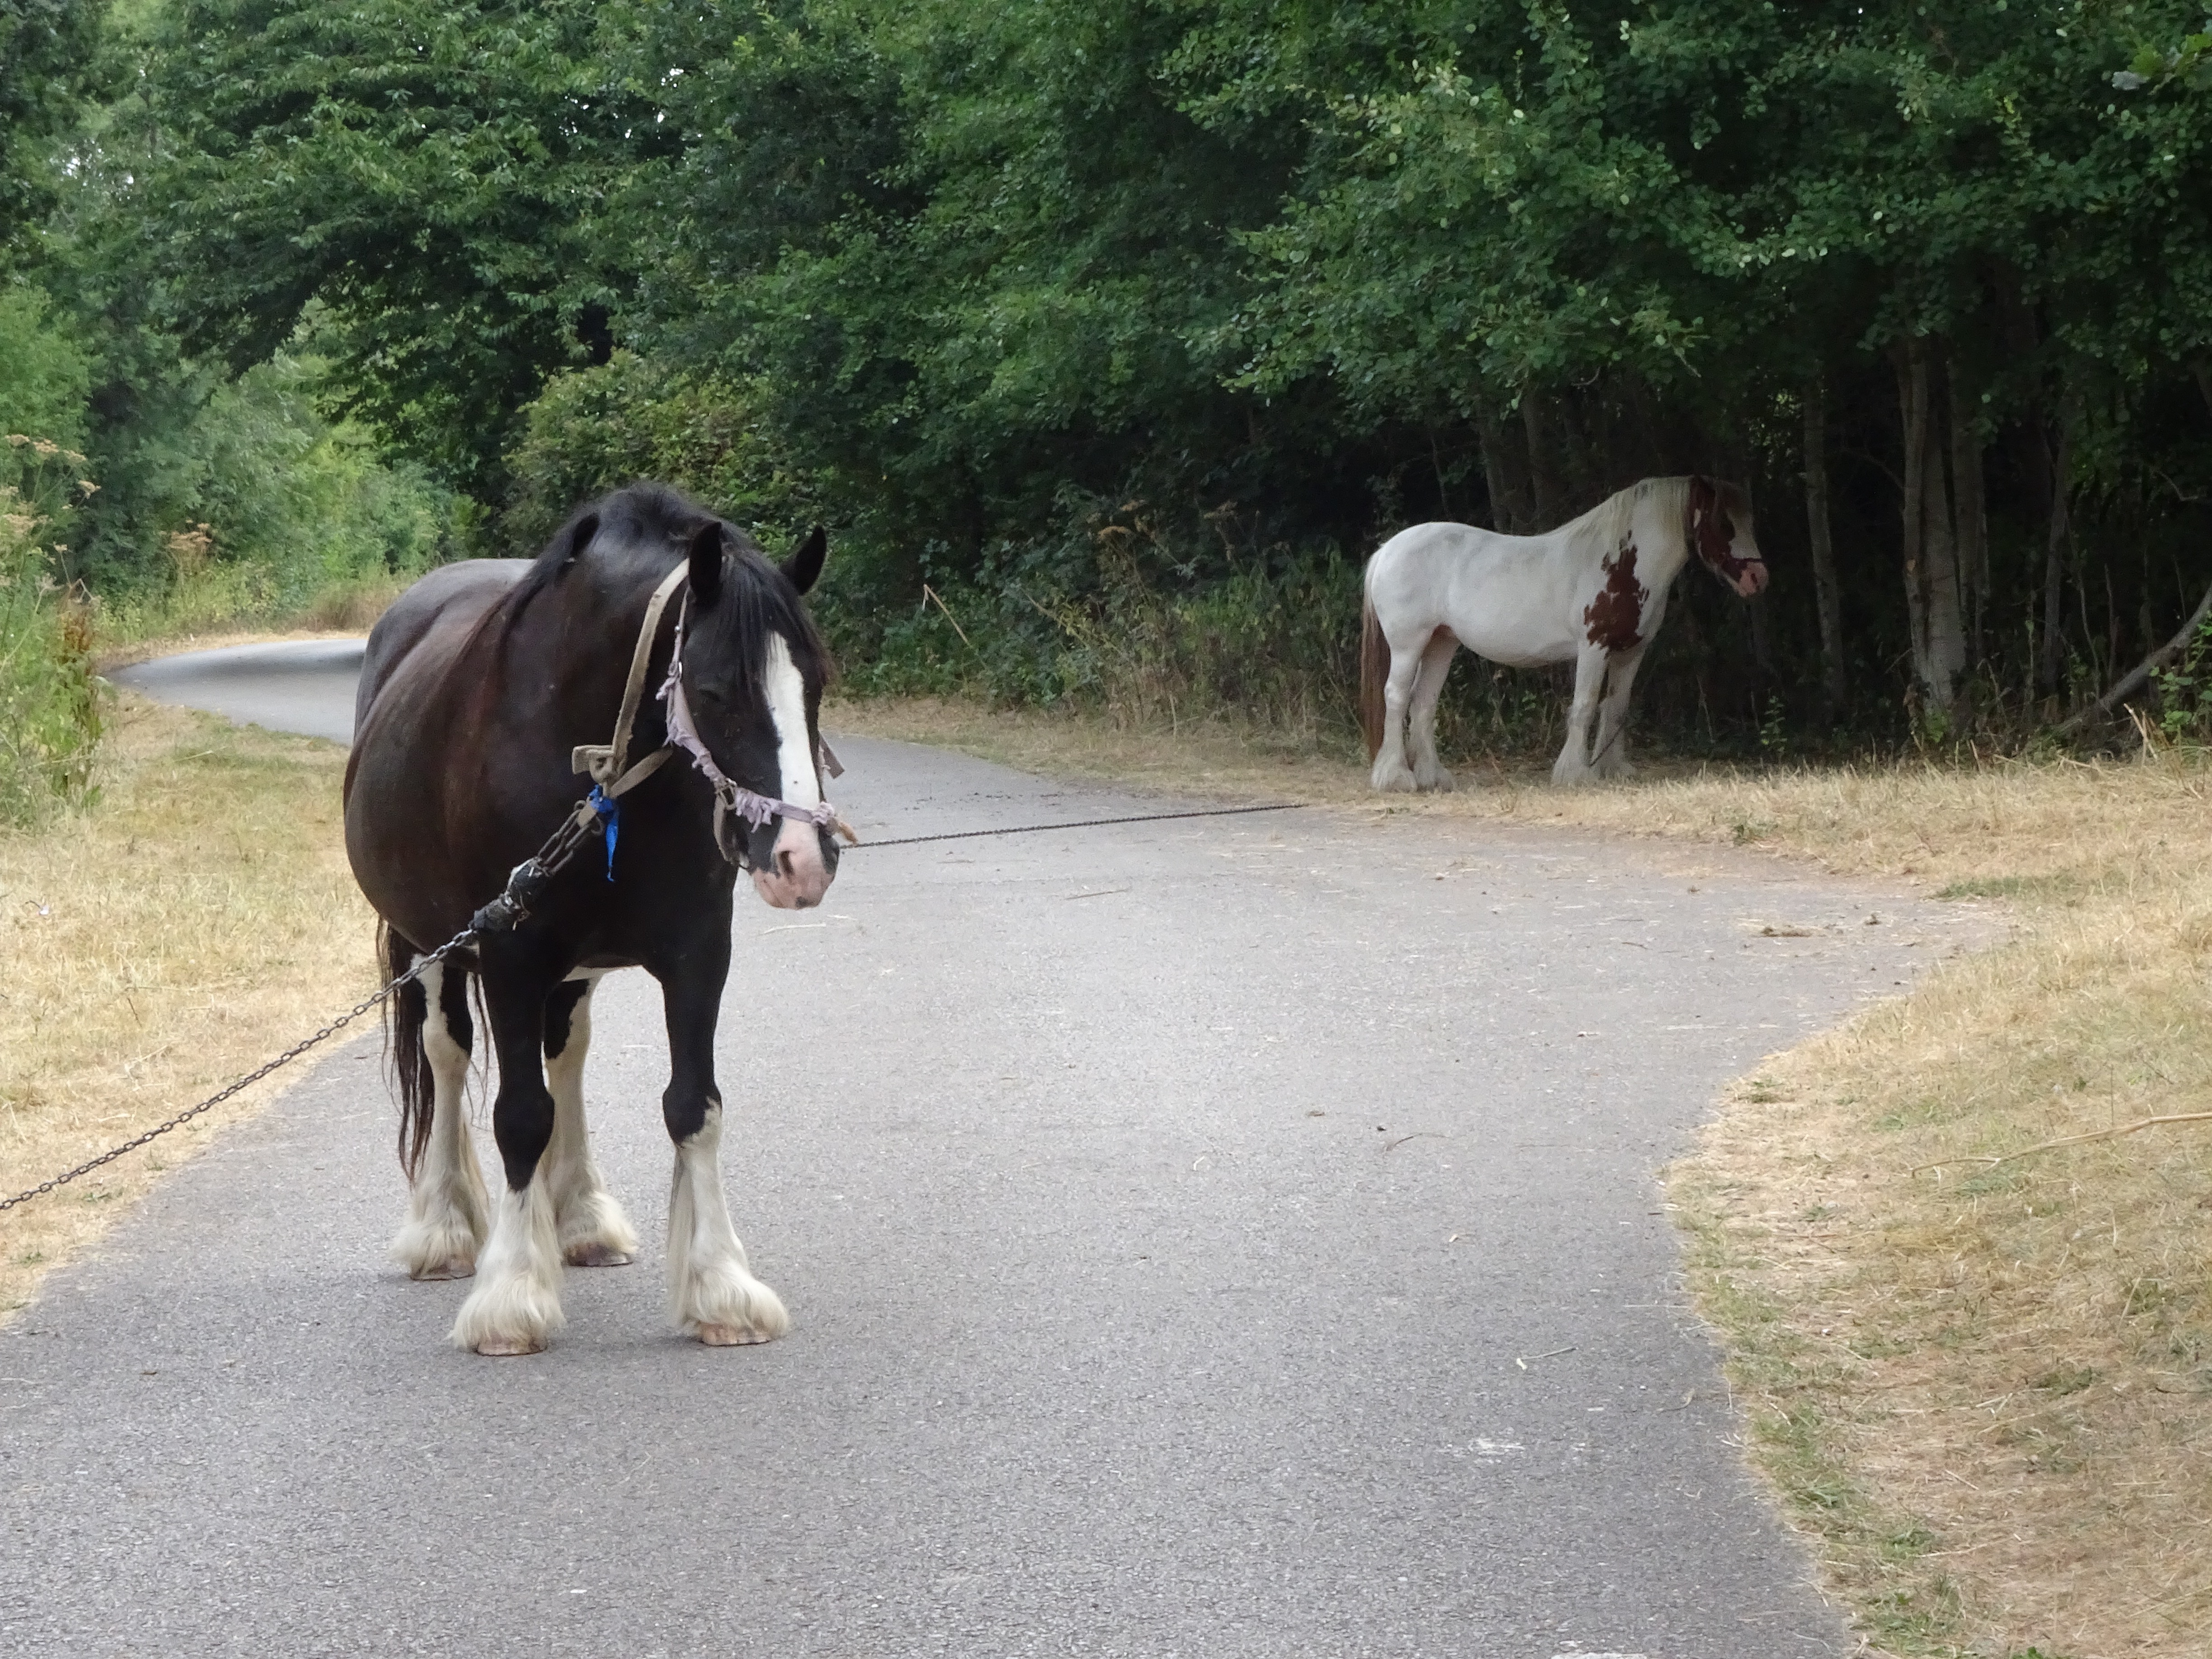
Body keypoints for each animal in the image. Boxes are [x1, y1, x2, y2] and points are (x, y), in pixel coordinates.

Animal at [343, 482, 842, 1356]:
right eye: (716, 690)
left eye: (816, 681)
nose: (801, 860)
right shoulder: (509, 952)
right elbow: (517, 1117)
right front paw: (510, 1296)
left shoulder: (699, 954)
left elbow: (693, 1105)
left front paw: (721, 1287)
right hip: (432, 946)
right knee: (446, 1055)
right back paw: (443, 1230)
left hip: (569, 968)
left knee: (565, 1054)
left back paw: (577, 1217)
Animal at [1358, 475, 1768, 791]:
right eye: (1724, 524)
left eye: (1749, 521)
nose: (1758, 578)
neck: (1622, 563)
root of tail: (1388, 550)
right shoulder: (1594, 648)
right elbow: (1584, 706)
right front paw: (1575, 773)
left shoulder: (1630, 652)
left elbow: (1616, 708)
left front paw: (1613, 770)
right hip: (1409, 644)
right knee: (1397, 697)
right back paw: (1396, 778)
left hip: (1441, 643)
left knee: (1423, 703)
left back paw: (1433, 778)